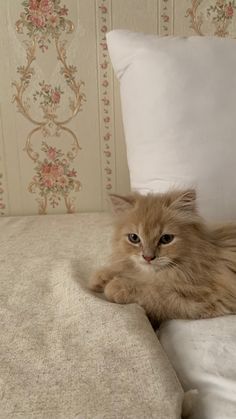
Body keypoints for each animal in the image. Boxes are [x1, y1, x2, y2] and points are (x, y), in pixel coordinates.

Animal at [88, 190, 236, 322]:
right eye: (134, 238)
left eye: (166, 239)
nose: (148, 257)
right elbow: (123, 268)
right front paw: (101, 277)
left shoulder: (207, 300)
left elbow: (152, 292)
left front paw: (115, 286)